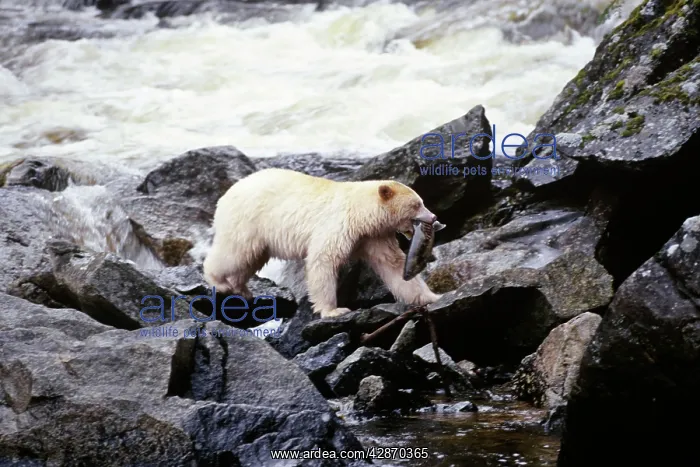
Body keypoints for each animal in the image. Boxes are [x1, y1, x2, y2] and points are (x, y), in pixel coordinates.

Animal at [202, 168, 442, 318]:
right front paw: (333, 311)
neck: (361, 213)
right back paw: (218, 281)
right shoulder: (338, 225)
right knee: (234, 253)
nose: (433, 218)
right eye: (417, 204)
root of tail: (225, 195)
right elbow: (324, 261)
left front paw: (432, 296)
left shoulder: (373, 236)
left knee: (251, 259)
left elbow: (392, 263)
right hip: (247, 221)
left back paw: (241, 288)